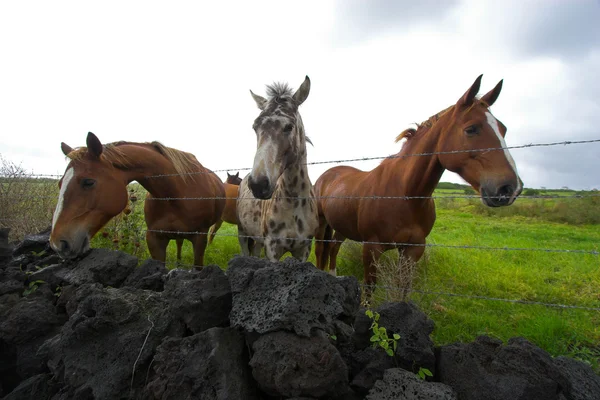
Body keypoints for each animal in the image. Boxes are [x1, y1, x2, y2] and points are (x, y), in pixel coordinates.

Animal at [49, 132, 225, 266]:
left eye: (88, 182)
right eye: (59, 183)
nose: (57, 244)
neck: (176, 194)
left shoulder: (199, 238)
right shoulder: (154, 239)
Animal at [314, 75, 520, 286]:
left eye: (503, 129)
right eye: (471, 129)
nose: (509, 188)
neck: (405, 194)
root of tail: (327, 175)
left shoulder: (413, 249)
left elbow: (403, 288)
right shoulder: (372, 248)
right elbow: (369, 288)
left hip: (341, 226)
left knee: (333, 248)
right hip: (321, 223)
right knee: (321, 250)